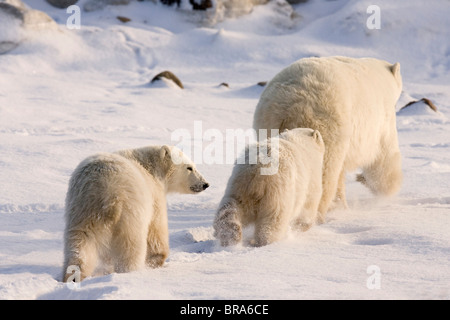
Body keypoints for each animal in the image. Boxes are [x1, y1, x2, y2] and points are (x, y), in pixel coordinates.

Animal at [62, 146, 209, 282]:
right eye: (189, 167)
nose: (205, 184)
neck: (150, 166)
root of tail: (106, 191)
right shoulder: (154, 195)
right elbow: (156, 228)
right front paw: (157, 259)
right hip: (130, 212)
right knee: (131, 246)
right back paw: (130, 272)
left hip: (82, 209)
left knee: (80, 243)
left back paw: (74, 276)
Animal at [253, 56, 404, 222]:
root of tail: (287, 108)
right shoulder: (381, 121)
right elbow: (383, 157)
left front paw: (341, 205)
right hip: (325, 126)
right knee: (324, 171)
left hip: (266, 126)